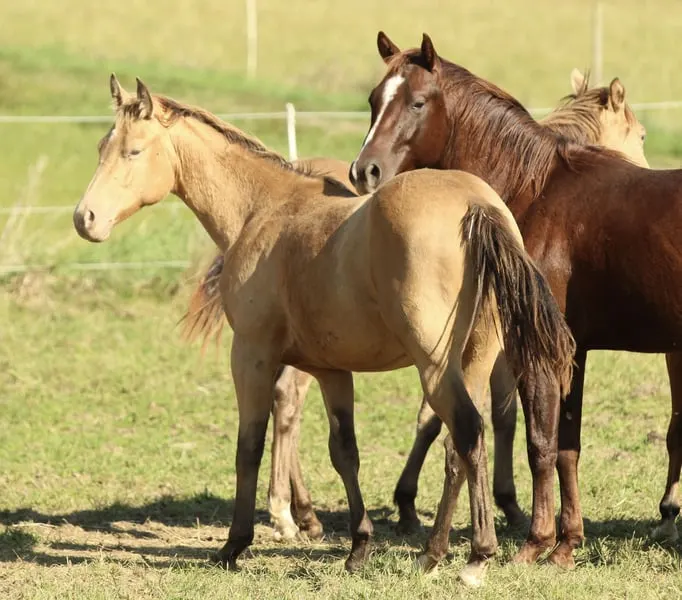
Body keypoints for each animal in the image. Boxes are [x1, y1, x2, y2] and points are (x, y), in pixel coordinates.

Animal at [72, 76, 574, 586]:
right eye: (101, 147)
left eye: (133, 151)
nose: (84, 218)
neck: (262, 209)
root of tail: (476, 206)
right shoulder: (332, 371)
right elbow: (344, 452)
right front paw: (358, 547)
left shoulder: (250, 356)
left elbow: (249, 446)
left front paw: (234, 545)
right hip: (473, 361)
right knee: (457, 446)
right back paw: (431, 553)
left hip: (435, 367)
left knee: (469, 434)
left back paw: (475, 557)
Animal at [204, 67, 647, 545]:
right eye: (641, 135)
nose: (642, 170)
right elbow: (465, 419)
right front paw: (432, 505)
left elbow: (483, 418)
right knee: (288, 400)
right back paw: (292, 511)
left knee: (285, 399)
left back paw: (298, 510)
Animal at [349, 31, 682, 568]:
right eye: (374, 100)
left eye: (417, 102)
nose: (364, 172)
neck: (536, 189)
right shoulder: (572, 351)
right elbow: (566, 446)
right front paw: (566, 544)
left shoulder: (537, 350)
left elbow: (539, 444)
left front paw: (535, 542)